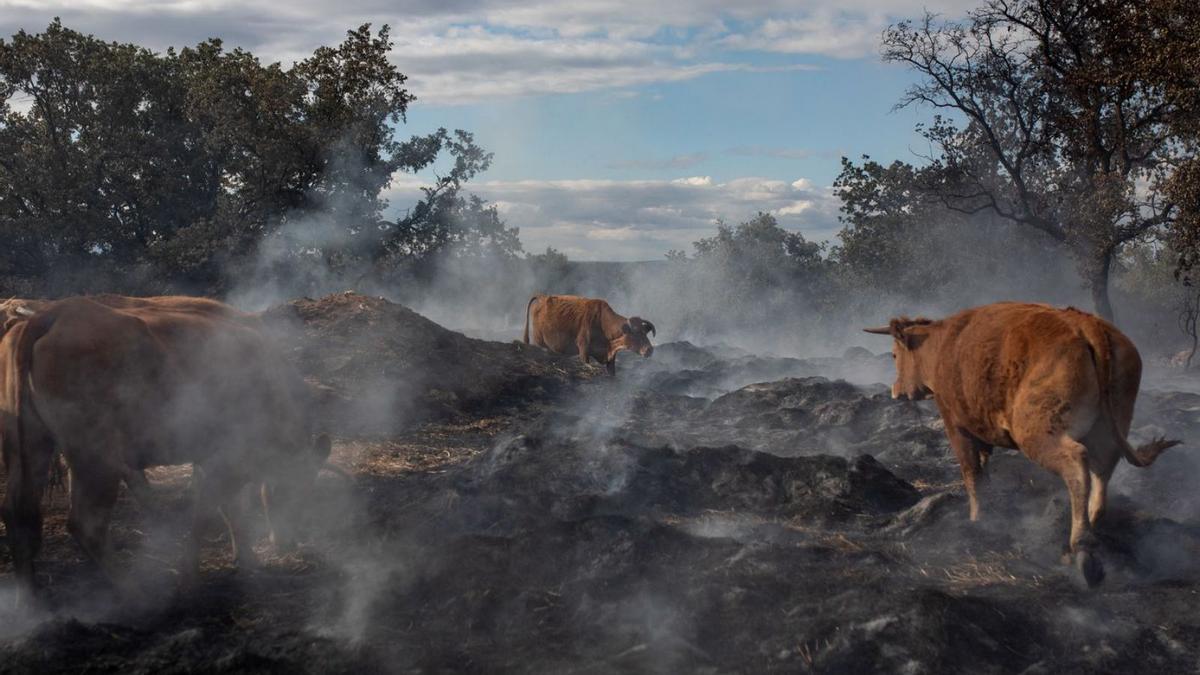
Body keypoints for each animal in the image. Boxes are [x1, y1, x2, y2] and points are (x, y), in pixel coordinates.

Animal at [0, 295, 328, 605]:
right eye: (299, 487)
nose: (290, 542)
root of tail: (54, 315)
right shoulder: (225, 460)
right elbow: (206, 514)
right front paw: (190, 578)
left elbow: (229, 509)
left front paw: (247, 560)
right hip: (97, 460)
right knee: (86, 524)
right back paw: (135, 593)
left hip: (33, 450)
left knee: (20, 517)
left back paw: (29, 604)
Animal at [525, 291, 657, 372]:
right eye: (635, 334)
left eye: (645, 333)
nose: (650, 350)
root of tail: (542, 297)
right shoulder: (583, 349)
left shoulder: (610, 357)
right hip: (539, 341)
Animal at [864, 302, 1180, 586]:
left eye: (894, 354)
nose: (895, 391)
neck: (942, 345)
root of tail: (1084, 323)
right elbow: (983, 470)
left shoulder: (956, 425)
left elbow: (971, 474)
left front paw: (977, 520)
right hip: (1107, 429)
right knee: (1102, 473)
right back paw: (1085, 536)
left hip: (1037, 434)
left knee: (1077, 464)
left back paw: (1081, 549)